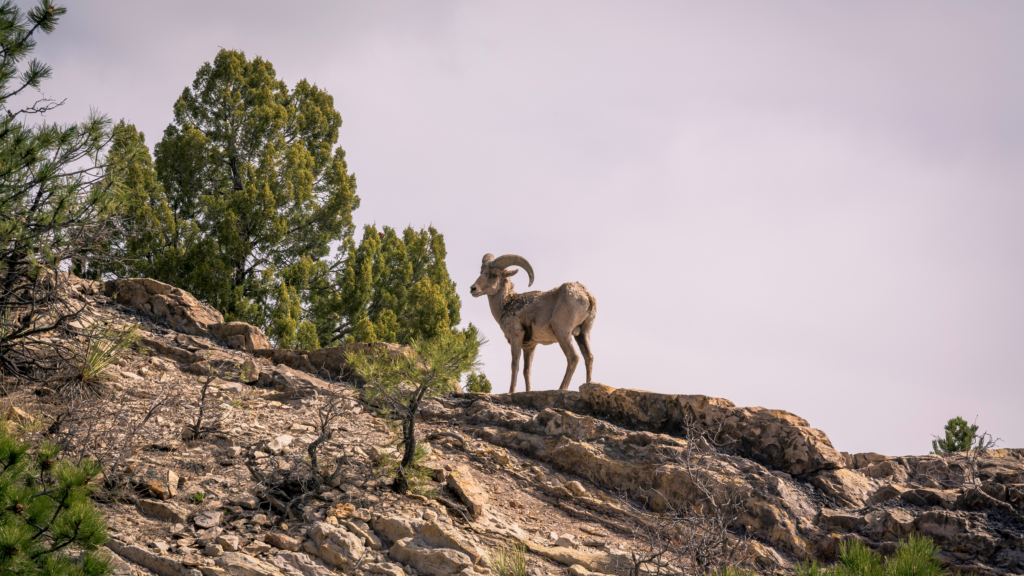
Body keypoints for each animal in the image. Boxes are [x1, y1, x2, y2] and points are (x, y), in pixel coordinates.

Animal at [468, 253, 598, 391]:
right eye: (481, 272)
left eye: (494, 275)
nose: (473, 289)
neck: (507, 305)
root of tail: (586, 294)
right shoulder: (530, 346)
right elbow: (527, 371)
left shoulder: (516, 336)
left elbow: (515, 365)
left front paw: (511, 391)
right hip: (583, 333)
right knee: (588, 357)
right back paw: (589, 384)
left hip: (562, 332)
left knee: (573, 357)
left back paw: (561, 388)